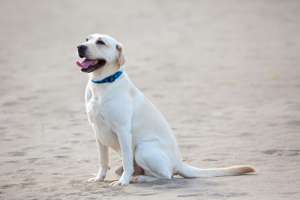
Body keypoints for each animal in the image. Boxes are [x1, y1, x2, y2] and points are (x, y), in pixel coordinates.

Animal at [75, 34, 255, 186]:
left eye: (101, 42)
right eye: (87, 39)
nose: (80, 47)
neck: (102, 83)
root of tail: (179, 162)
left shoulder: (123, 130)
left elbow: (126, 160)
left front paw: (123, 182)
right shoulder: (97, 131)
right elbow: (103, 160)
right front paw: (99, 178)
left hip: (144, 149)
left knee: (166, 176)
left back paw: (137, 178)